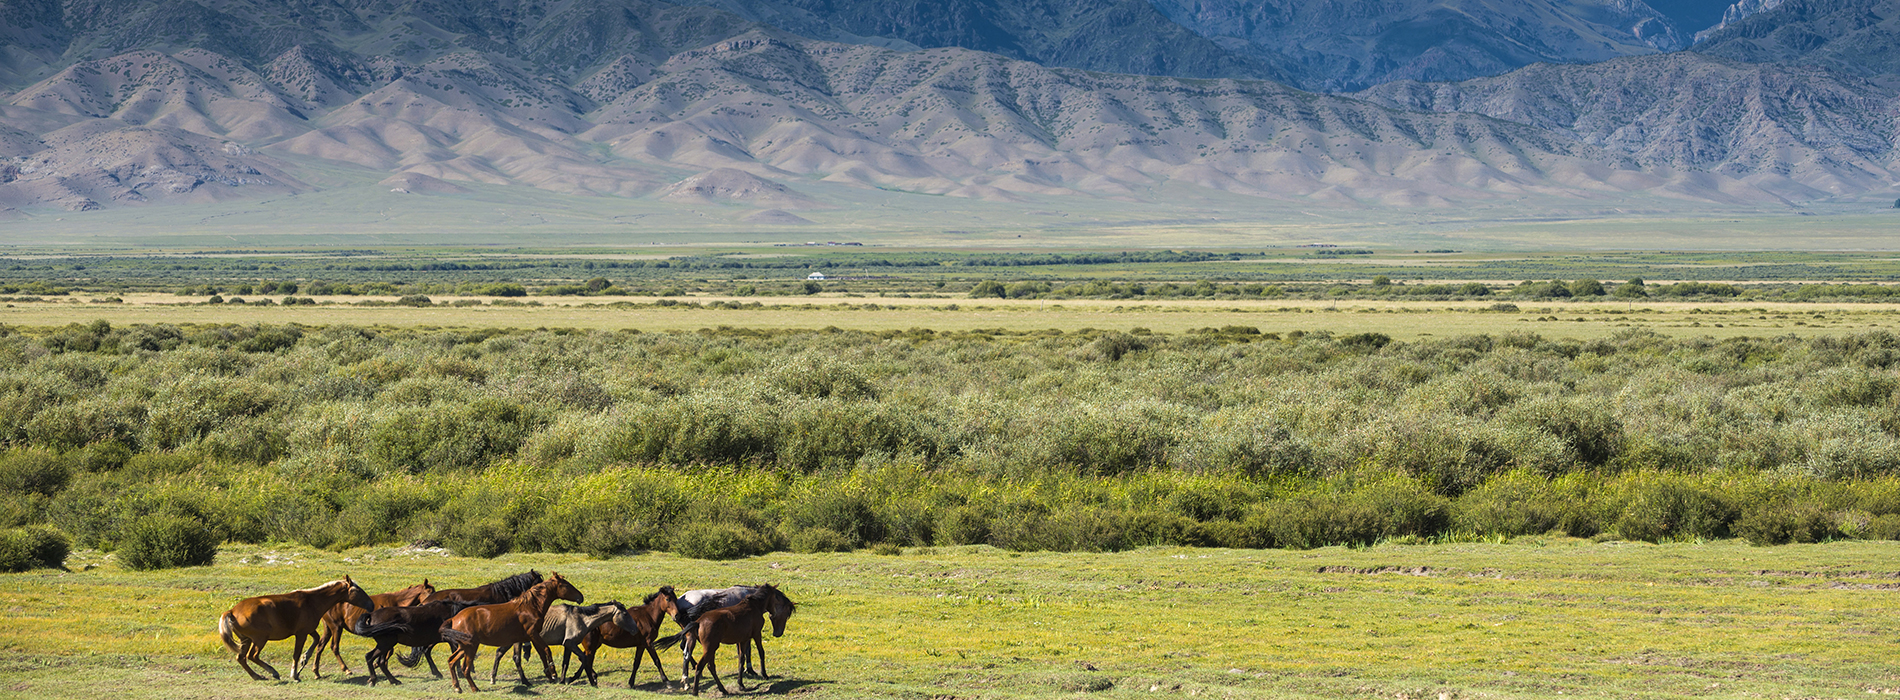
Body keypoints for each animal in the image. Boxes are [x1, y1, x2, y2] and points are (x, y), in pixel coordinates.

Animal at [218, 578, 374, 680]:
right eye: (358, 590)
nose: (371, 605)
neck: (312, 601)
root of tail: (232, 611)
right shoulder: (301, 634)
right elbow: (296, 654)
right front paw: (295, 674)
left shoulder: (308, 630)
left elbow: (316, 640)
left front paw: (305, 659)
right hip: (260, 639)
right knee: (252, 656)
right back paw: (273, 672)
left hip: (246, 640)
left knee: (241, 658)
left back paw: (257, 676)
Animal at [440, 570, 581, 692]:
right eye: (566, 585)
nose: (581, 597)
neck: (529, 607)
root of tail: (454, 618)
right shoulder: (533, 634)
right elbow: (546, 650)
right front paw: (553, 673)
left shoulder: (530, 637)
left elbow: (540, 654)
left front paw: (548, 676)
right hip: (471, 647)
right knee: (465, 668)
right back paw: (474, 688)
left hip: (464, 647)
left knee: (451, 661)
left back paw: (457, 687)